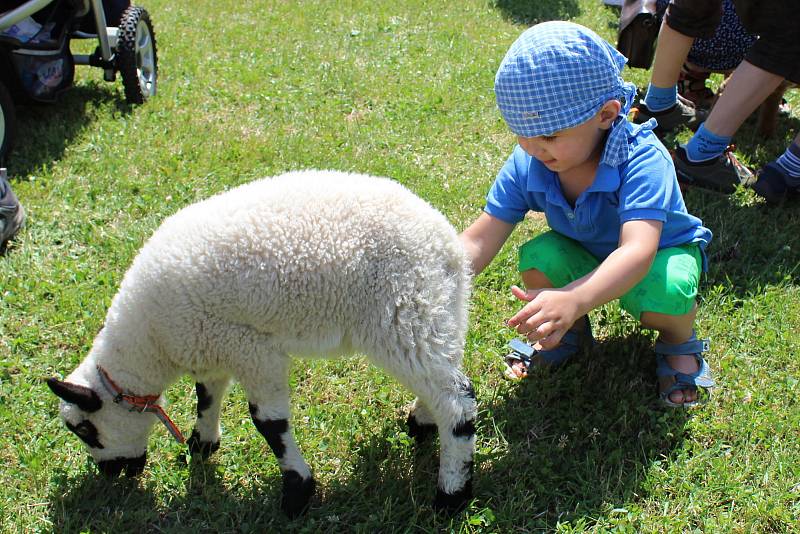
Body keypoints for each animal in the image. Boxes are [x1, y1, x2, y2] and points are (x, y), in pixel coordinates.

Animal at [45, 170, 476, 516]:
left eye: (84, 430)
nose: (111, 473)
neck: (152, 343)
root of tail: (446, 246)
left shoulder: (251, 347)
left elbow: (268, 423)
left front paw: (298, 491)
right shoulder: (213, 342)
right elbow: (206, 395)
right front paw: (201, 444)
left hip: (402, 310)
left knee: (457, 399)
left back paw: (451, 494)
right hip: (434, 310)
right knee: (442, 376)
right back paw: (422, 421)